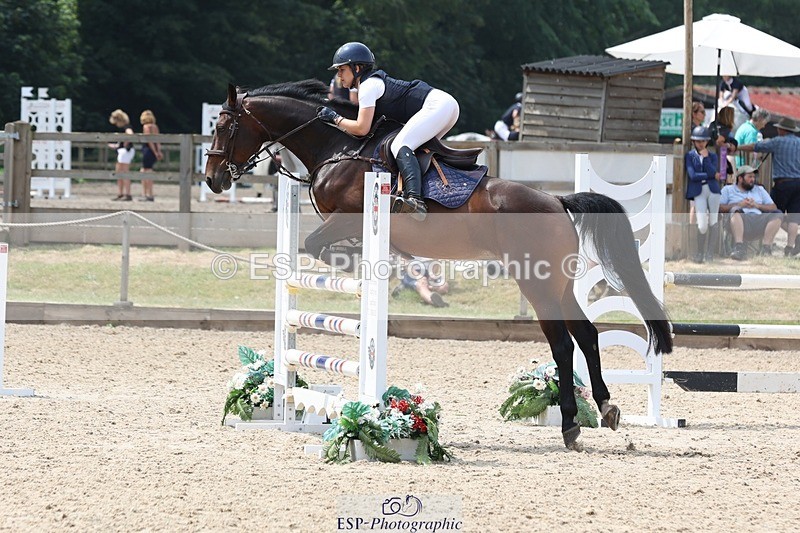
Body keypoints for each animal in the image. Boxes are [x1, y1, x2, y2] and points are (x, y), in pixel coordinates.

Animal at [205, 79, 673, 450]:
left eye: (224, 126)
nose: (213, 179)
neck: (339, 147)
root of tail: (557, 201)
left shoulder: (349, 217)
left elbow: (316, 244)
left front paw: (361, 265)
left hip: (535, 283)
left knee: (562, 343)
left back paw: (572, 426)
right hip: (558, 283)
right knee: (587, 335)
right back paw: (603, 409)